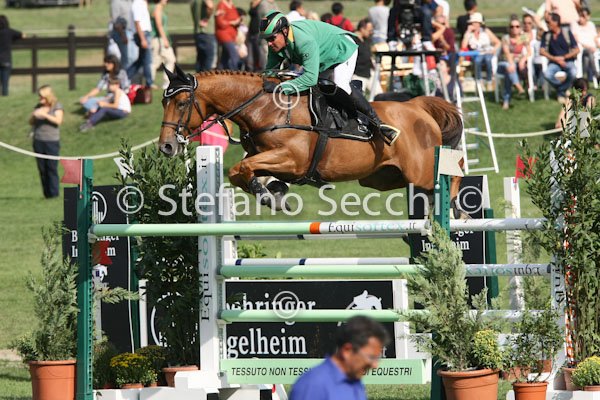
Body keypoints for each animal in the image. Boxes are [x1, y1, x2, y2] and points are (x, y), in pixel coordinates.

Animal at [158, 66, 464, 215]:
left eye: (182, 103)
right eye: (163, 102)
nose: (166, 146)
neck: (264, 108)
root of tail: (417, 106)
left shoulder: (293, 160)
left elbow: (240, 168)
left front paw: (268, 196)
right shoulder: (266, 158)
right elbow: (241, 171)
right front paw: (275, 194)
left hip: (420, 170)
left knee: (453, 174)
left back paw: (456, 209)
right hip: (383, 177)